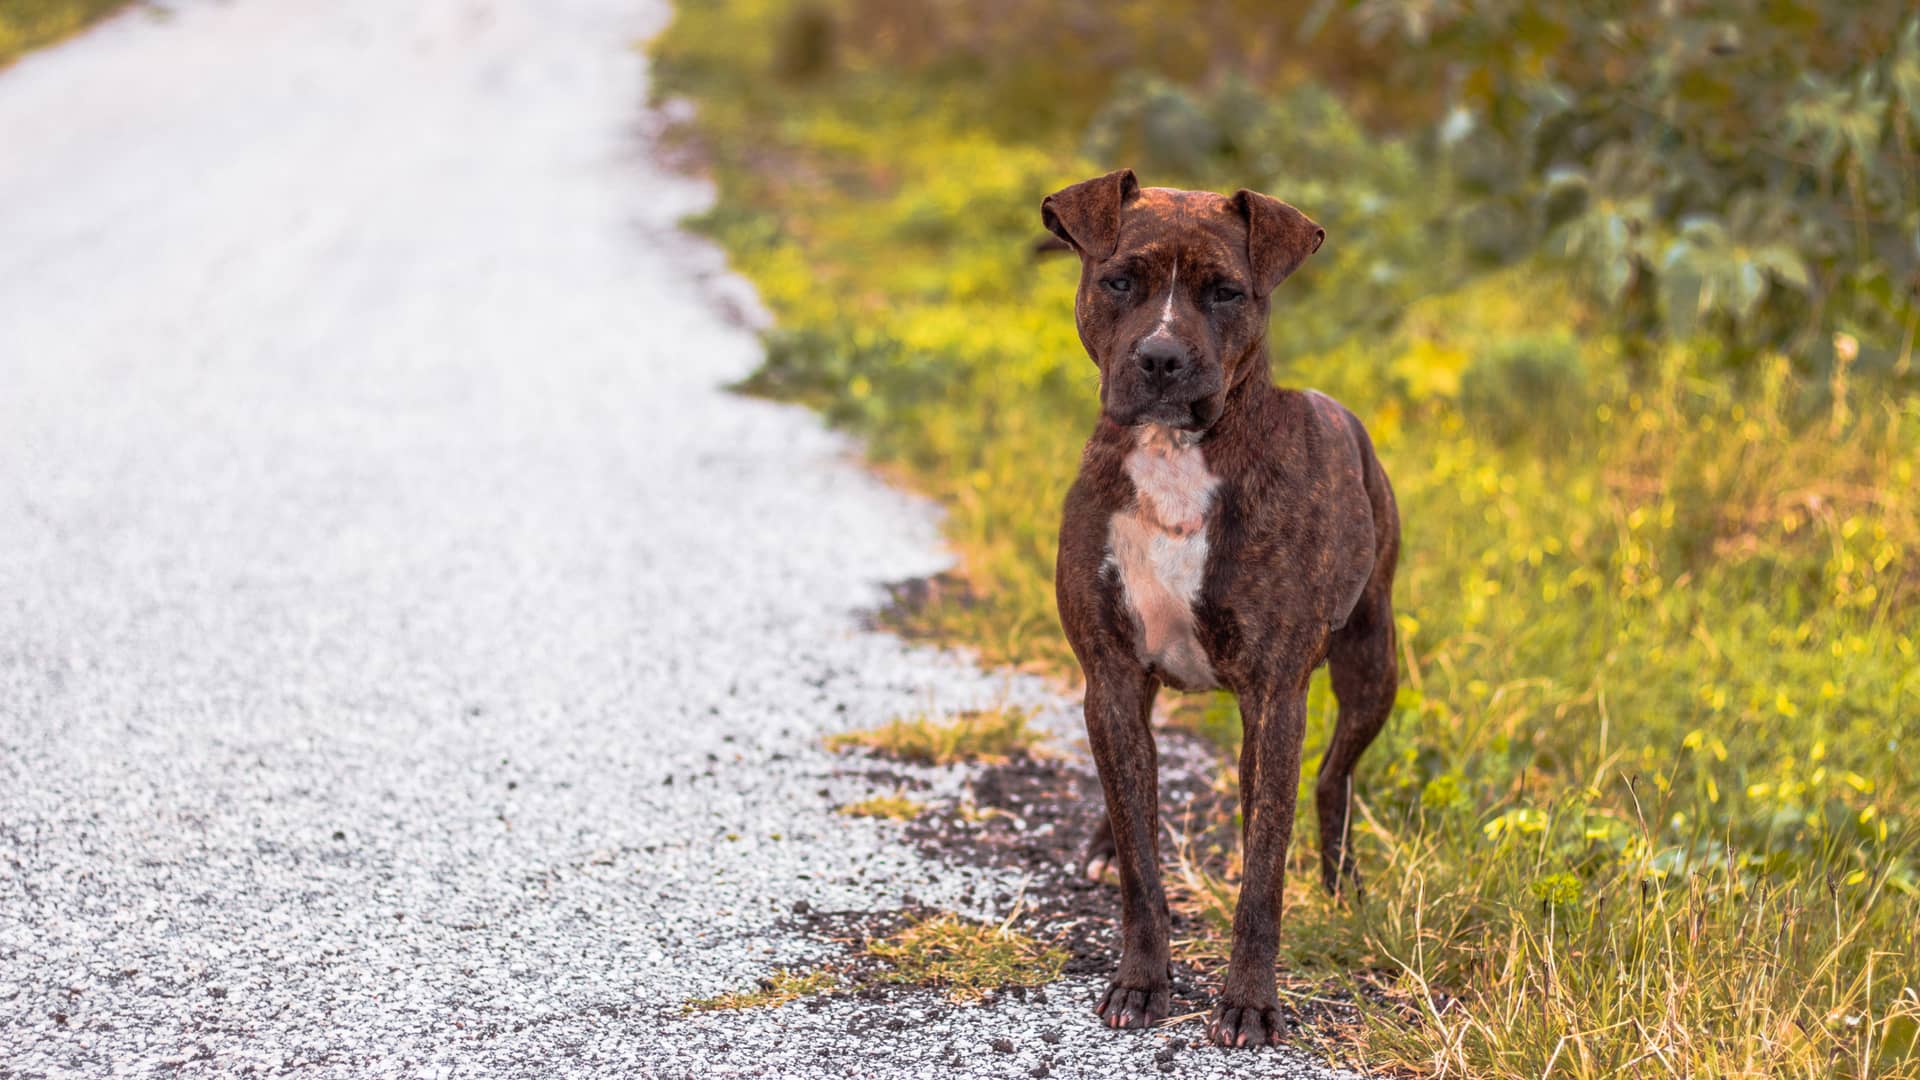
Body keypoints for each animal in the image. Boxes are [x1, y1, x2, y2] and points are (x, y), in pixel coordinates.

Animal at [1052, 168, 1397, 1045]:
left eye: (1226, 292)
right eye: (1119, 281)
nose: (1162, 357)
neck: (1174, 459)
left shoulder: (1274, 698)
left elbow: (1262, 868)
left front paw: (1249, 1000)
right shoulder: (1110, 674)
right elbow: (1141, 865)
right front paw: (1141, 981)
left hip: (1373, 666)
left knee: (1334, 778)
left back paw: (1340, 883)